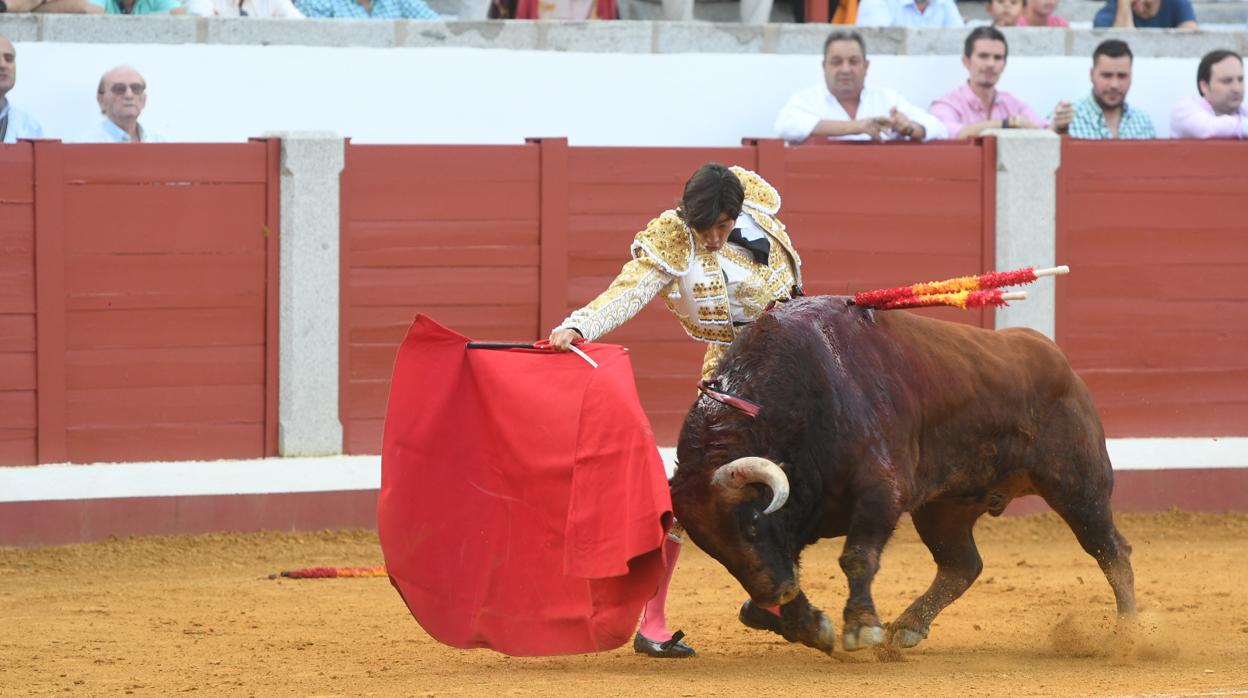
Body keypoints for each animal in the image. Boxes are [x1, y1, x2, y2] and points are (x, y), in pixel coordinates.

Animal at [668, 294, 1138, 654]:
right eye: (710, 547)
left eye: (750, 522)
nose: (774, 594)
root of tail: (1059, 361)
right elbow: (790, 566)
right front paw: (809, 624)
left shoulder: (881, 491)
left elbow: (857, 556)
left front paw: (861, 628)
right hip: (944, 507)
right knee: (961, 564)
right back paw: (908, 627)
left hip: (1078, 486)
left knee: (1110, 550)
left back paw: (1126, 636)